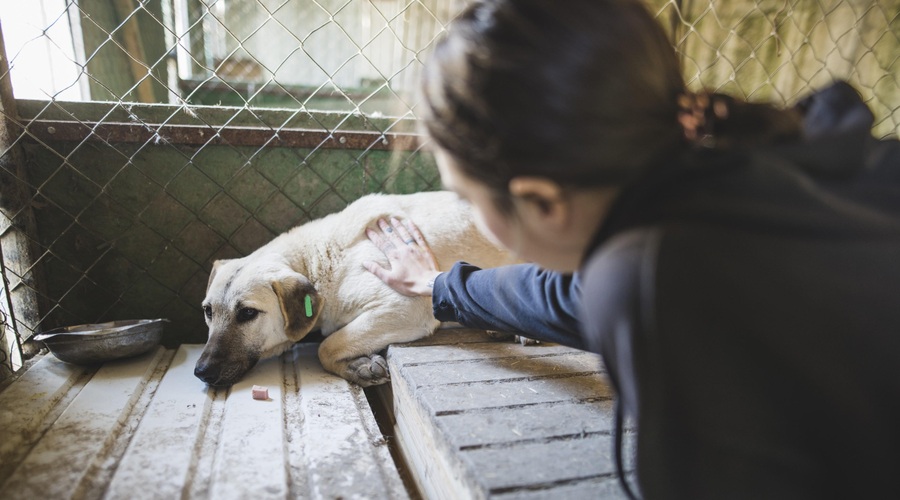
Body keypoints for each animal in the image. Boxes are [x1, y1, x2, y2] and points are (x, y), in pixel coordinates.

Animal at [193, 190, 510, 386]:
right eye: (208, 311)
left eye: (247, 313)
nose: (201, 371)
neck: (320, 259)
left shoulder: (405, 307)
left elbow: (326, 346)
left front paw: (356, 366)